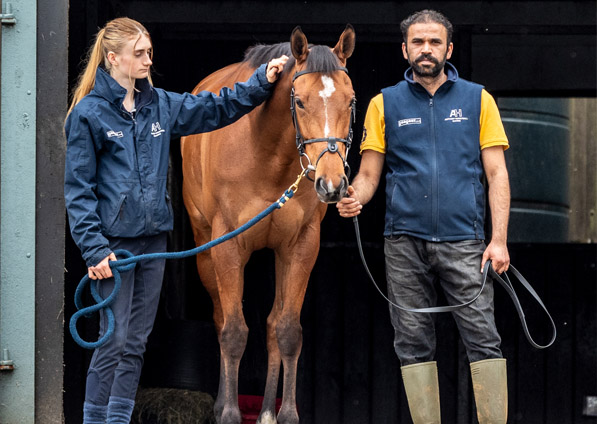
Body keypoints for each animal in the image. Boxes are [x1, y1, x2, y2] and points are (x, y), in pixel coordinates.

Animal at [177, 26, 354, 424]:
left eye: (350, 101)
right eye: (300, 102)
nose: (332, 183)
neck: (266, 152)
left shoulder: (302, 245)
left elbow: (287, 331)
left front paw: (285, 415)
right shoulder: (227, 245)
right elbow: (233, 333)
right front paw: (228, 414)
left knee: (273, 325)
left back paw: (267, 413)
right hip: (205, 250)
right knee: (220, 319)